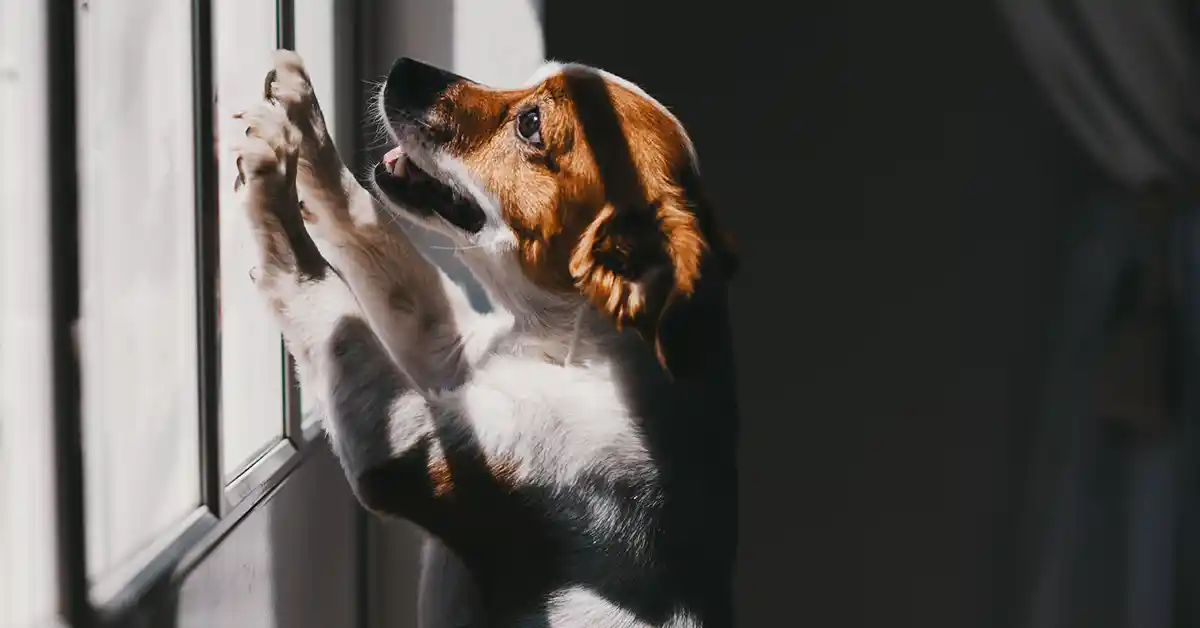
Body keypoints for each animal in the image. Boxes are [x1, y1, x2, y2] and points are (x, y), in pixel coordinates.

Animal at [226, 50, 739, 628]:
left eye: (531, 123)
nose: (405, 65)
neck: (572, 348)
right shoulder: (449, 349)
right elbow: (372, 228)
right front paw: (304, 125)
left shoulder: (404, 442)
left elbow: (326, 299)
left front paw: (273, 179)